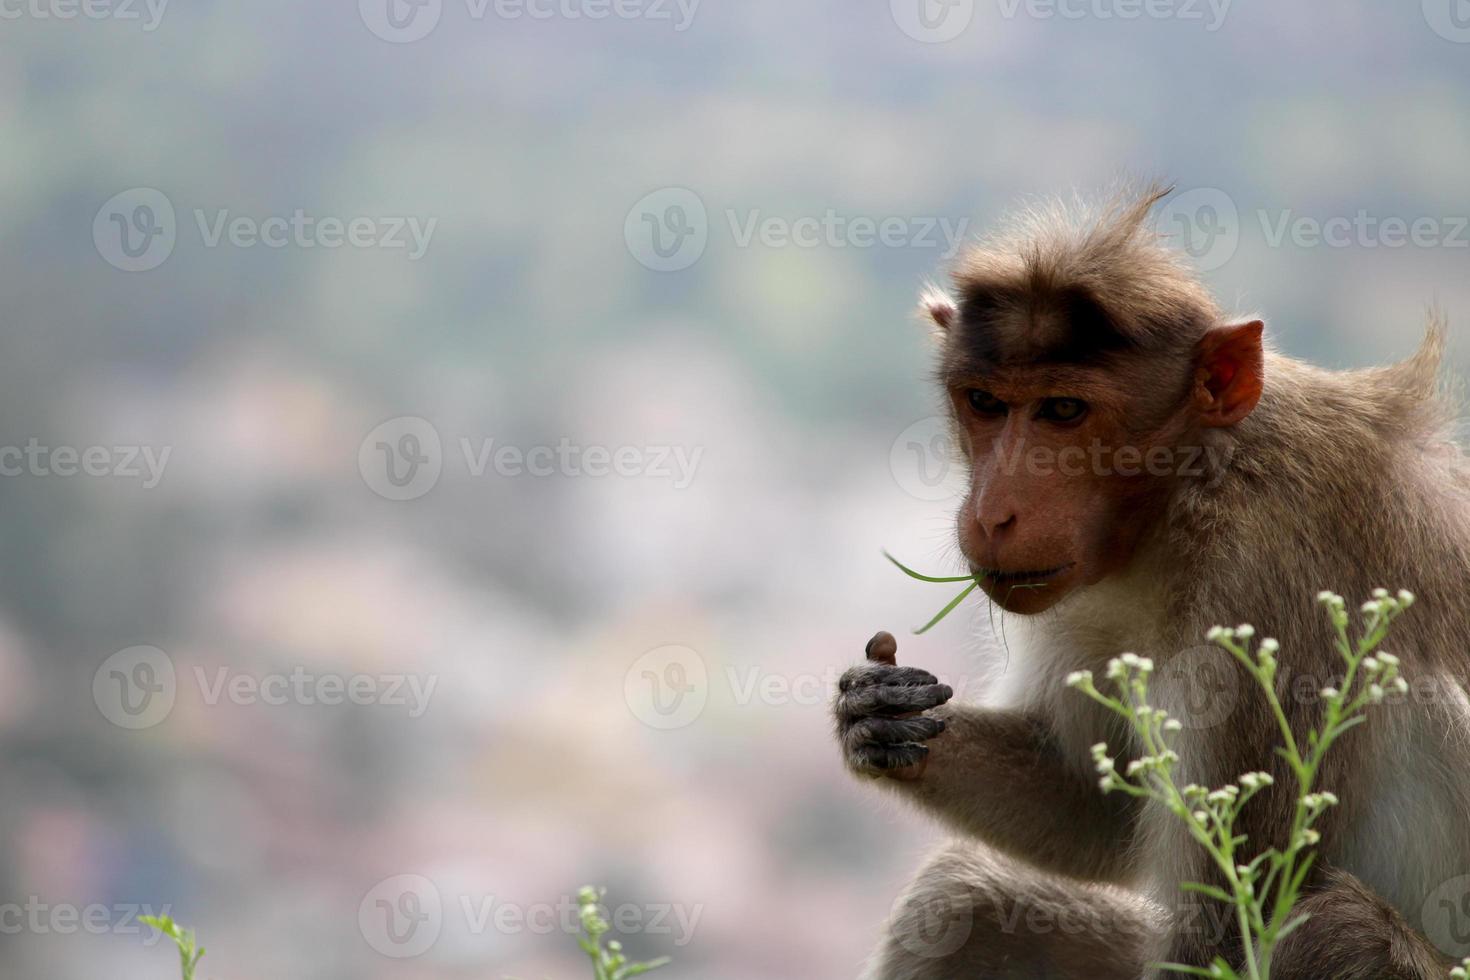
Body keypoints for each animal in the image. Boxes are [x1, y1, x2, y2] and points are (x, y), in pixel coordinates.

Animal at [834, 185, 1470, 980]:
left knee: (1334, 930)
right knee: (961, 901)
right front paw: (879, 712)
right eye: (985, 402)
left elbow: (1225, 932)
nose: (992, 513)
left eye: (1063, 411)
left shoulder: (1270, 590)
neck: (1188, 496)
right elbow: (1092, 801)